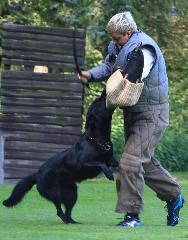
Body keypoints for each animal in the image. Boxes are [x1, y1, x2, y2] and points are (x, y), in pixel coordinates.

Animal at [2, 89, 117, 223]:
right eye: (97, 101)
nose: (104, 91)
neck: (97, 139)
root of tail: (37, 174)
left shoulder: (109, 158)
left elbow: (112, 161)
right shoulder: (83, 163)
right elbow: (99, 163)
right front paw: (109, 174)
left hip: (71, 192)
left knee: (68, 210)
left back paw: (72, 222)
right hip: (54, 192)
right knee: (59, 210)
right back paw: (66, 220)